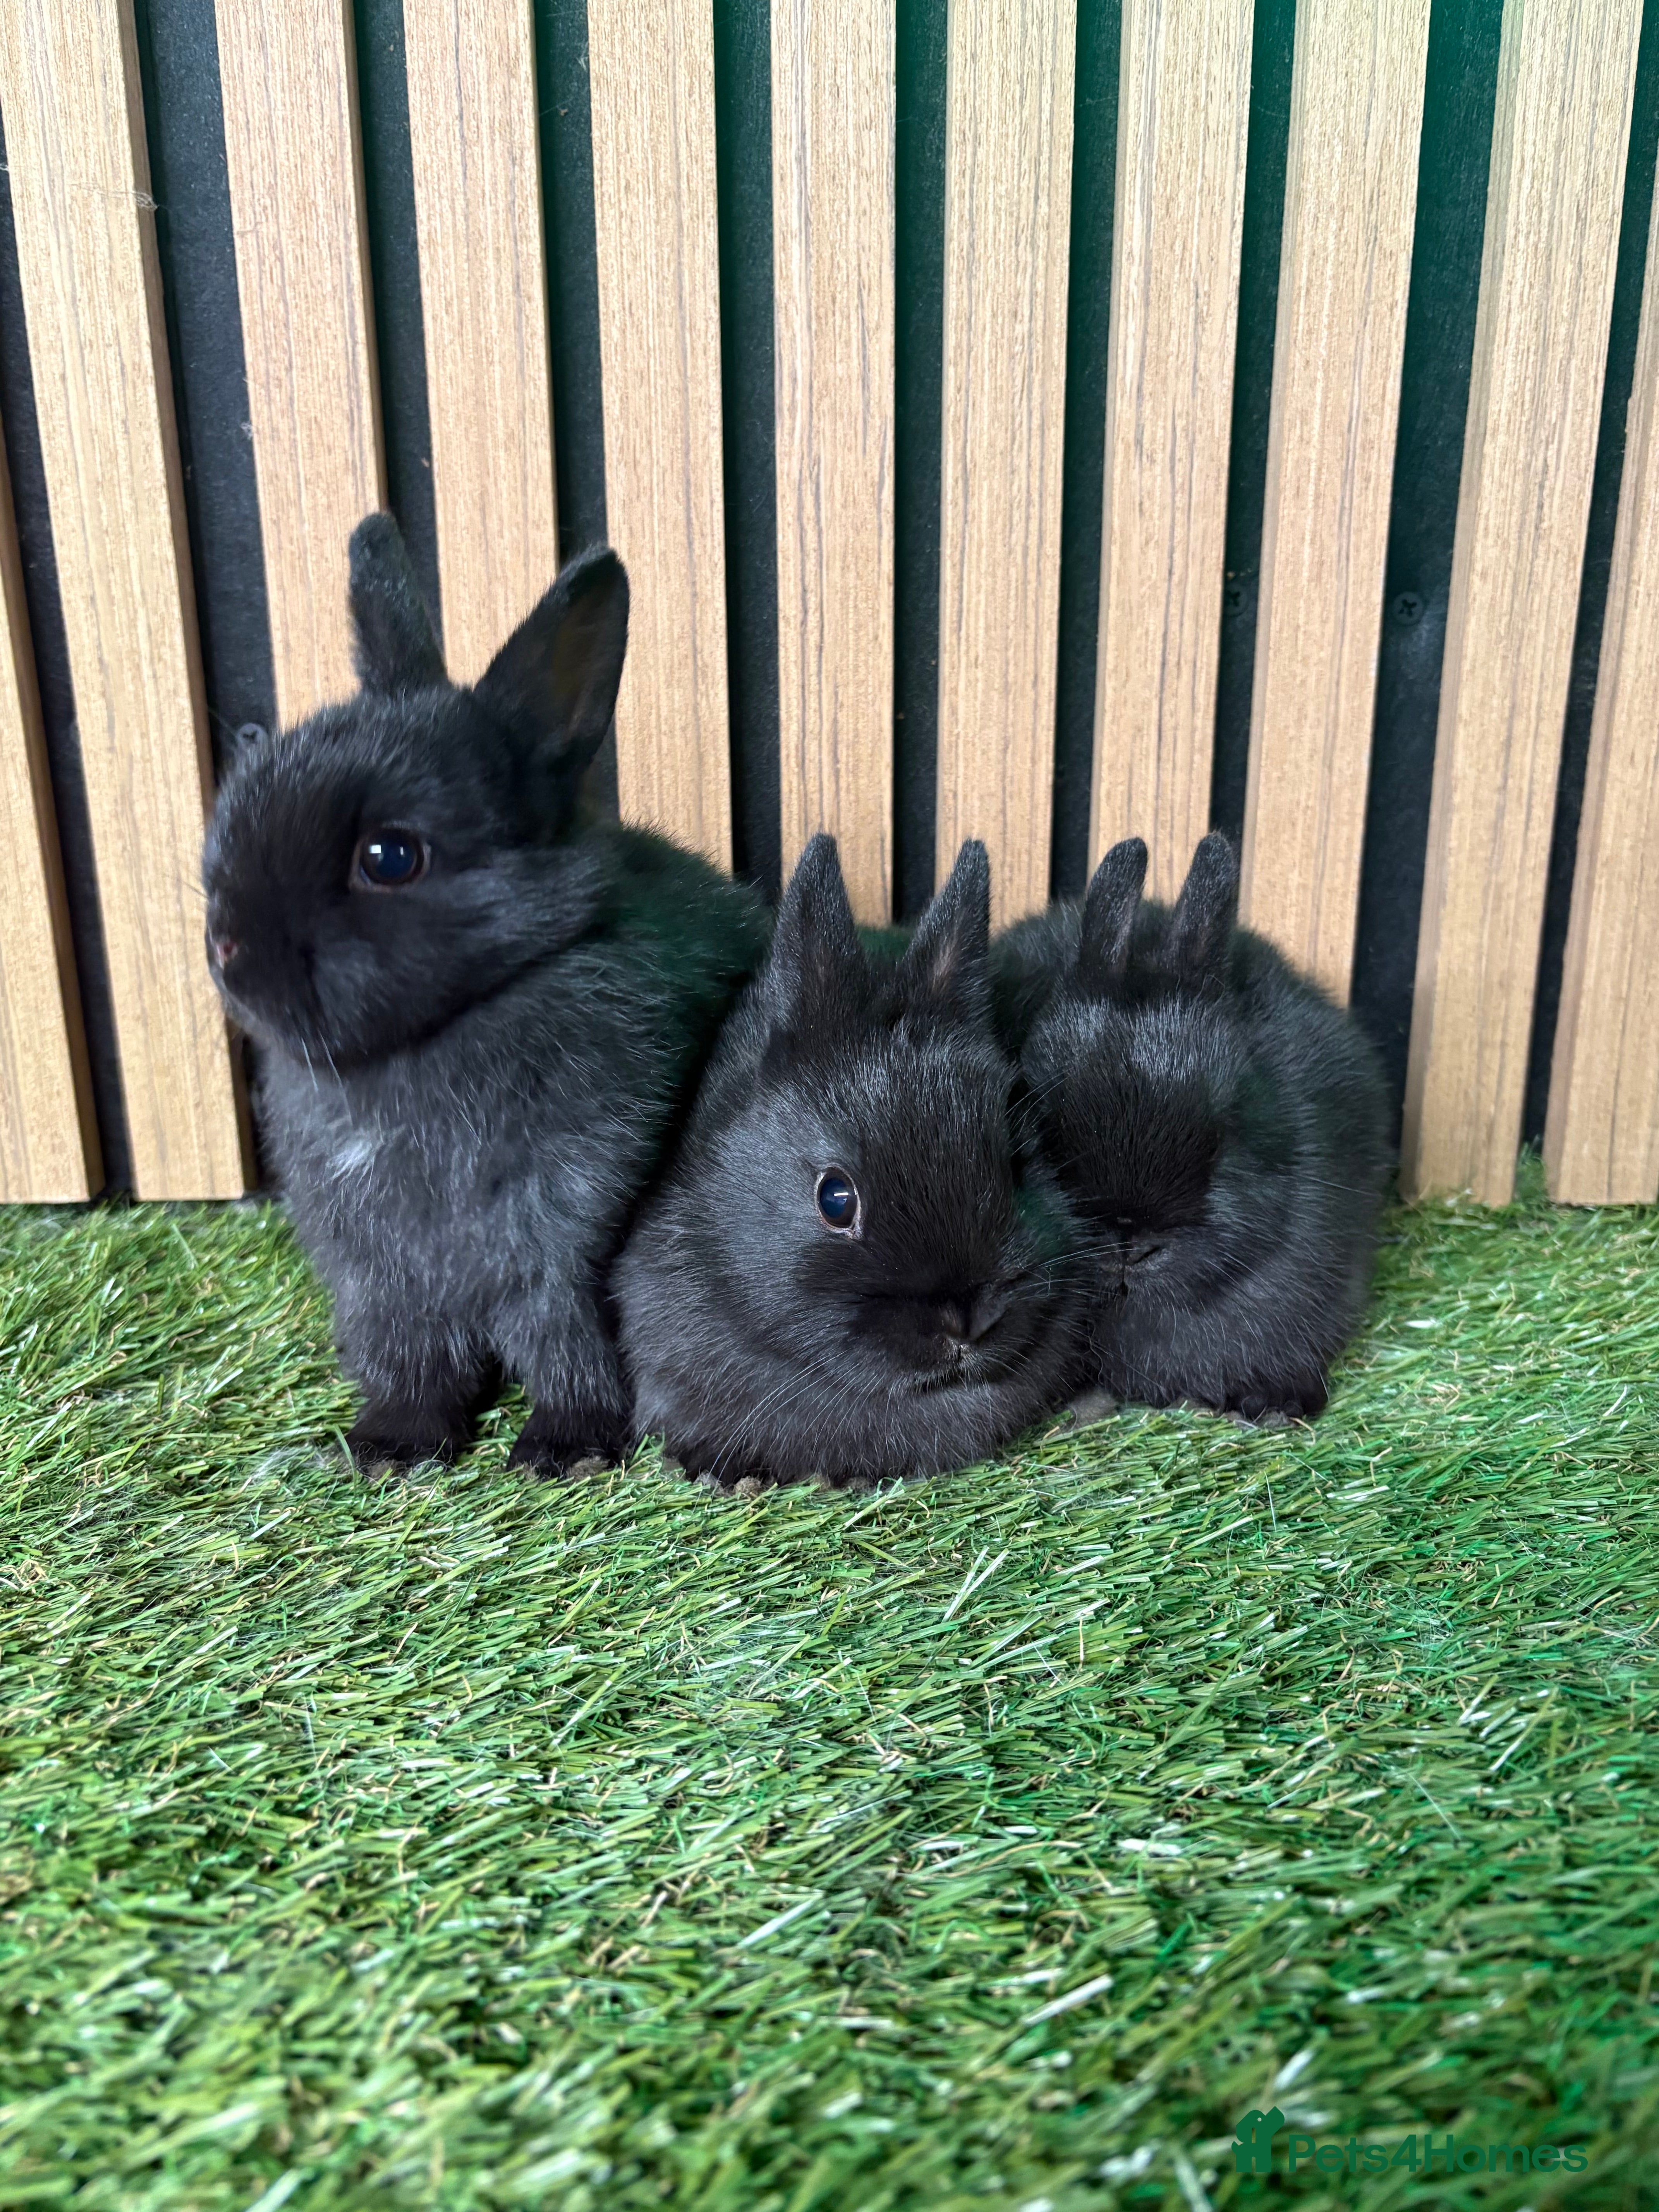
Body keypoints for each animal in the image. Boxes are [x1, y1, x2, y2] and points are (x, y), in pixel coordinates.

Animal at [201, 513, 769, 1475]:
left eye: (391, 856)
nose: (225, 945)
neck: (432, 1037)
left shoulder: (566, 1245)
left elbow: (565, 1344)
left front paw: (567, 1451)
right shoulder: (383, 1283)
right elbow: (411, 1361)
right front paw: (392, 1448)